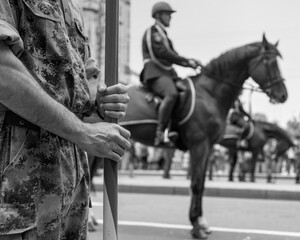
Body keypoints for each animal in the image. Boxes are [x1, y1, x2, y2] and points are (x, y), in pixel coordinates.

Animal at [118, 34, 288, 239]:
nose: (283, 95)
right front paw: (197, 226)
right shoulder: (199, 145)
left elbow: (202, 184)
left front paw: (200, 223)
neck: (209, 94)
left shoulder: (208, 147)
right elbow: (197, 184)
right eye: (269, 60)